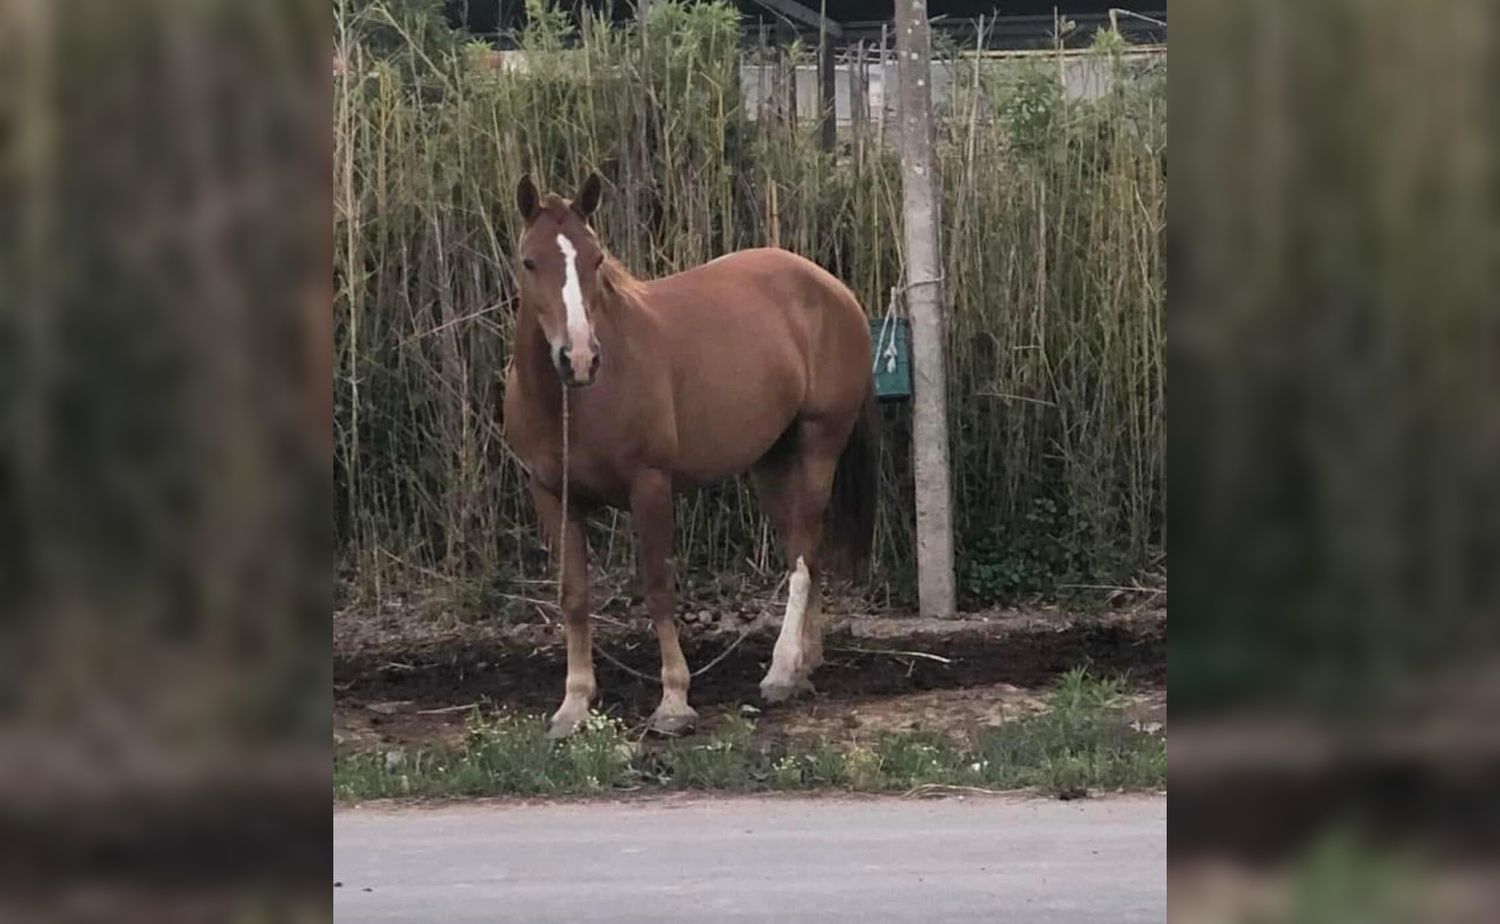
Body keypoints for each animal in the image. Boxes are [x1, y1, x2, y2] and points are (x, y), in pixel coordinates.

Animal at [507, 173, 876, 735]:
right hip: (771, 460)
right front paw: (573, 704)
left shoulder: (650, 485)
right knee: (804, 548)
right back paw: (803, 665)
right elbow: (573, 595)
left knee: (801, 556)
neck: (574, 402)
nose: (580, 358)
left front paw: (674, 701)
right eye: (531, 261)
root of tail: (830, 286)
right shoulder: (552, 494)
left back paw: (780, 670)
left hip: (819, 443)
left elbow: (659, 588)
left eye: (596, 258)